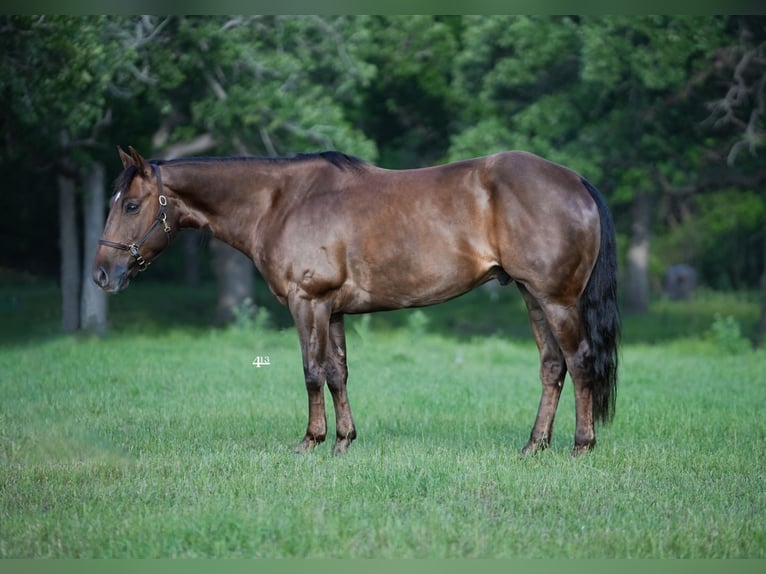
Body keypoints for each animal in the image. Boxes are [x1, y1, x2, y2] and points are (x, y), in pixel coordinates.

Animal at [97, 147, 624, 460]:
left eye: (131, 204)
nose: (102, 273)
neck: (280, 202)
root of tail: (576, 181)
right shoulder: (333, 309)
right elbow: (337, 373)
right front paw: (343, 441)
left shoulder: (307, 303)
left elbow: (311, 372)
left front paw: (311, 441)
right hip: (532, 296)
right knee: (552, 366)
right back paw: (534, 446)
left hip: (557, 300)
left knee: (579, 362)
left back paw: (581, 445)